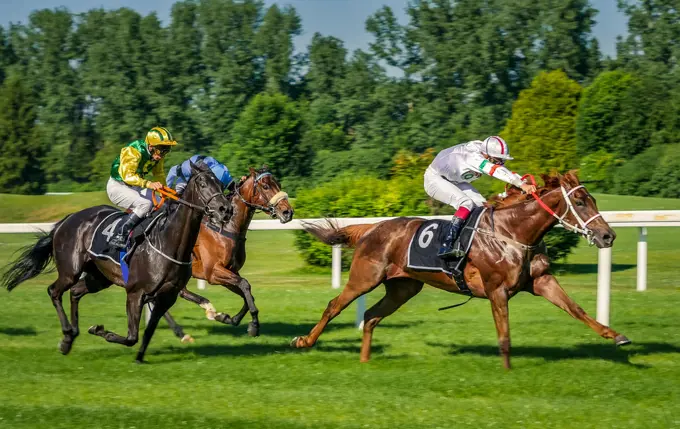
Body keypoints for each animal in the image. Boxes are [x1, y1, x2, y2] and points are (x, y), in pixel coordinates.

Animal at [1, 161, 231, 362]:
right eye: (202, 183)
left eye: (220, 185)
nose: (225, 209)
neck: (167, 241)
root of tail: (66, 220)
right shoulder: (136, 293)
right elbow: (131, 337)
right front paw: (100, 330)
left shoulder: (167, 296)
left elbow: (148, 332)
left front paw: (140, 358)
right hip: (70, 270)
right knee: (54, 291)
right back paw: (66, 336)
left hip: (99, 277)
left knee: (75, 292)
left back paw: (71, 336)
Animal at [292, 171, 632, 368]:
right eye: (580, 201)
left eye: (593, 198)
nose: (608, 236)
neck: (513, 232)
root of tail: (372, 228)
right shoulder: (497, 289)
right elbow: (504, 335)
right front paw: (508, 371)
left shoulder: (541, 281)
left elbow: (577, 310)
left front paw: (616, 336)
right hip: (365, 277)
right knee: (334, 305)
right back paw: (304, 341)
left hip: (403, 288)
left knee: (371, 316)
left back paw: (365, 360)